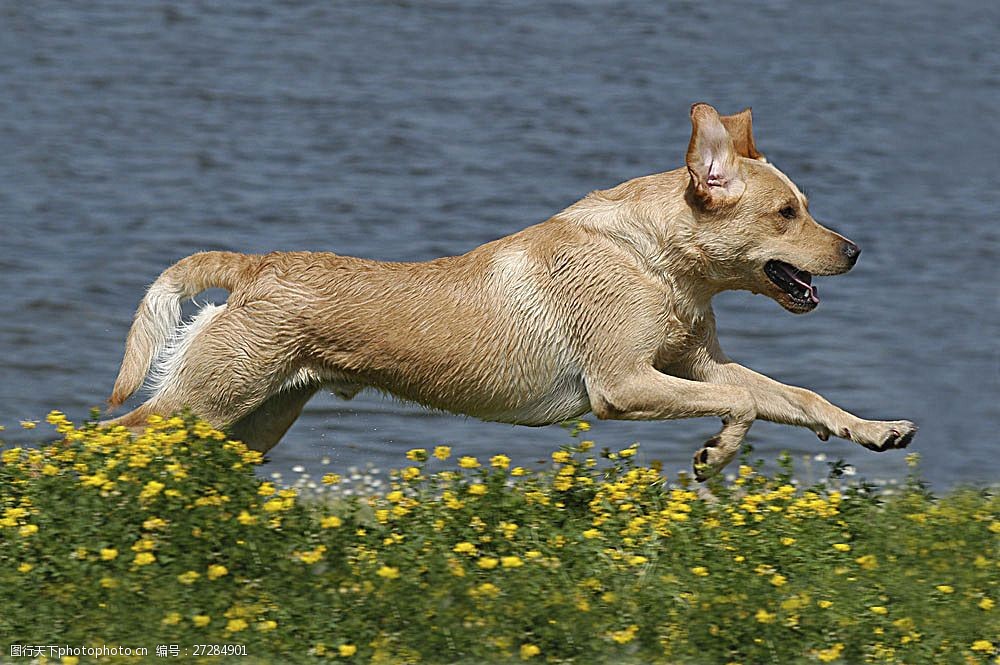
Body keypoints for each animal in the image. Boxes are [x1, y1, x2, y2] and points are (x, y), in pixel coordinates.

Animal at [107, 102, 916, 478]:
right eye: (786, 214)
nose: (854, 251)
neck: (650, 258)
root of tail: (255, 264)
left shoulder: (696, 366)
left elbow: (791, 395)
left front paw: (875, 429)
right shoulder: (624, 385)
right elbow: (746, 402)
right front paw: (715, 454)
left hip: (253, 419)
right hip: (209, 401)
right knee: (105, 433)